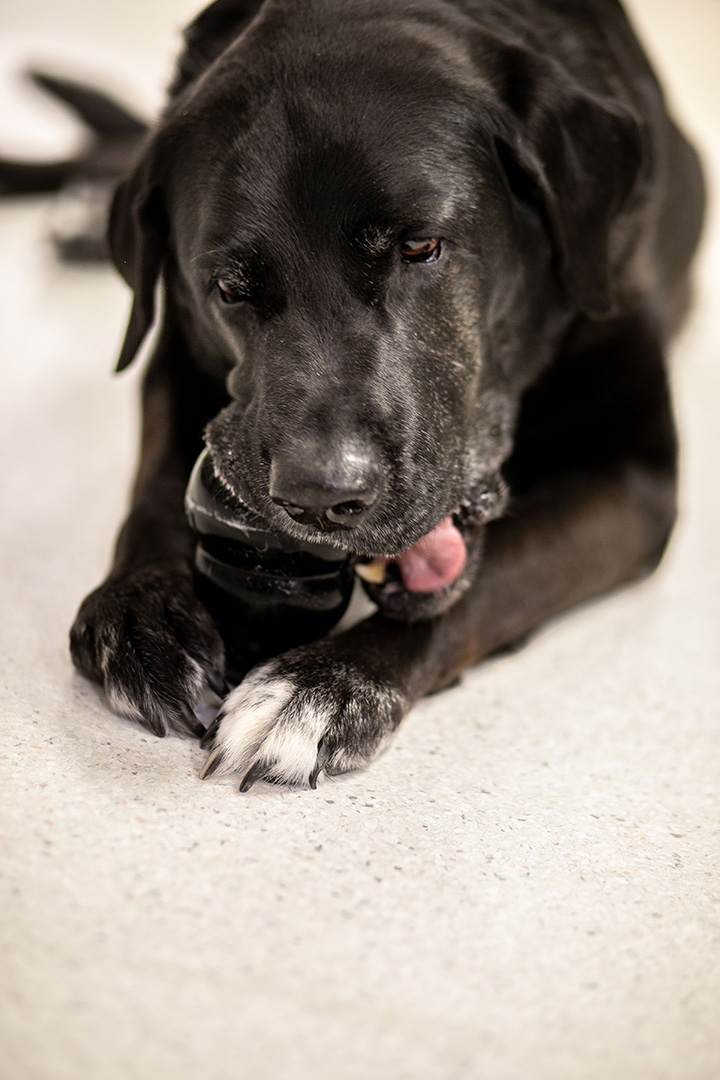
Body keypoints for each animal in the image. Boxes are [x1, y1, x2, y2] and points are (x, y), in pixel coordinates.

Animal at [69, 0, 703, 790]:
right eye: (228, 288)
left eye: (420, 247)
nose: (319, 497)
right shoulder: (172, 351)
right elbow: (153, 488)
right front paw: (141, 611)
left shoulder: (640, 479)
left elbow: (491, 574)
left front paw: (324, 686)